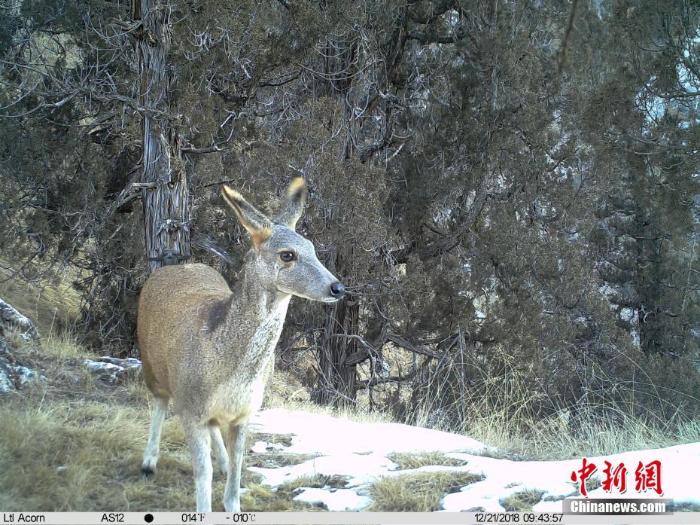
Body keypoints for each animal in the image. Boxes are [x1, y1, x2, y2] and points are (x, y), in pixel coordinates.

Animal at [137, 178, 344, 510]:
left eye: (313, 249)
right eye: (287, 255)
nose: (337, 287)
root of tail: (172, 266)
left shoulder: (246, 413)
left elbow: (237, 472)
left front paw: (232, 499)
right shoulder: (190, 406)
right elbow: (202, 474)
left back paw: (218, 461)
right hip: (150, 363)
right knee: (158, 402)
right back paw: (148, 462)